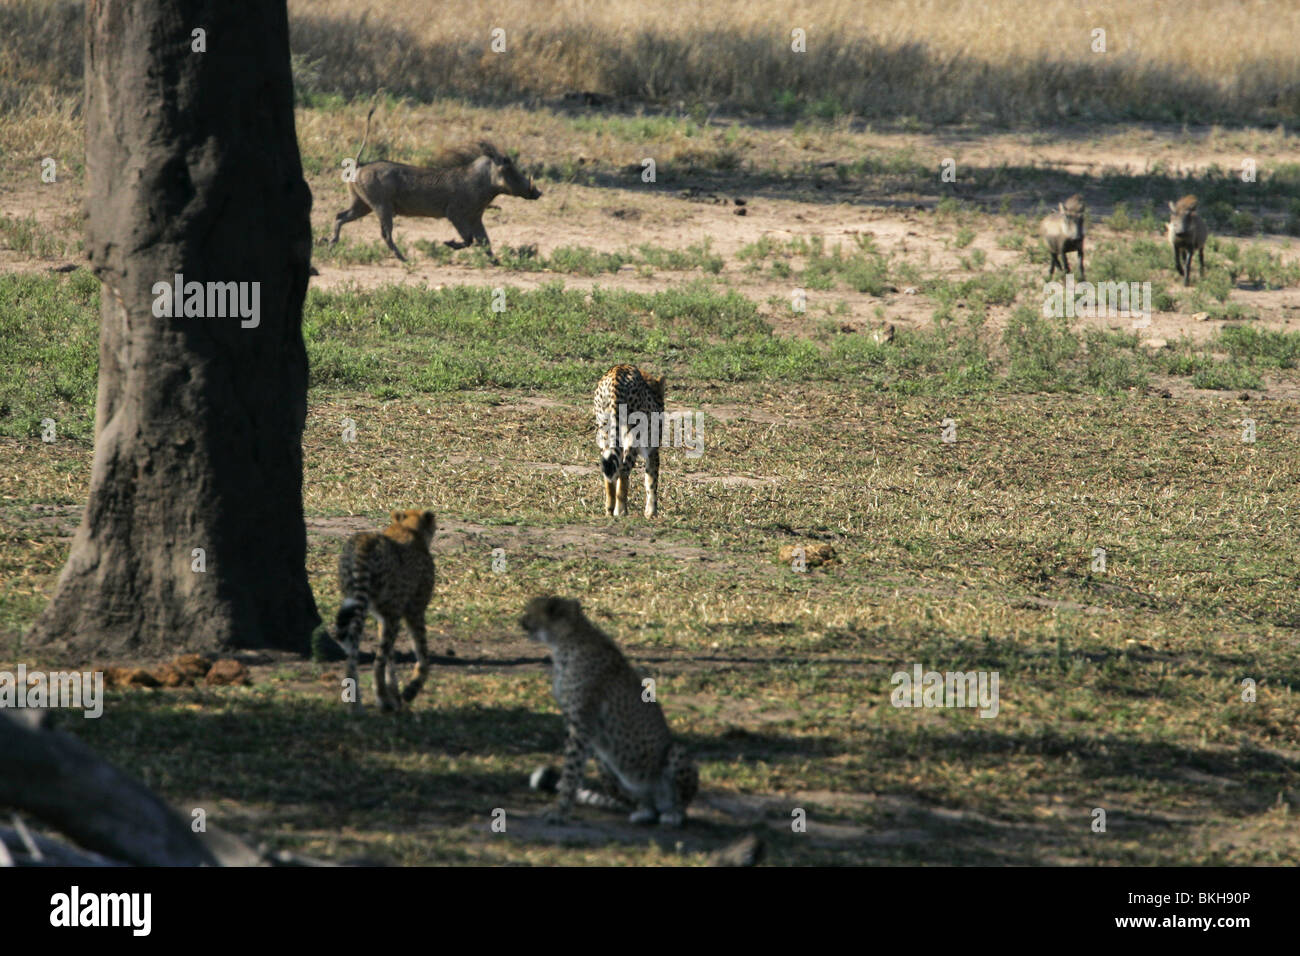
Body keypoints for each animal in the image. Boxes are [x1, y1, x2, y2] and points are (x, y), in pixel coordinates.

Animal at [335, 509, 436, 712]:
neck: (409, 529)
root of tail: (365, 539)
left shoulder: (385, 617)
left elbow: (391, 658)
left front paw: (395, 695)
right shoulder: (412, 611)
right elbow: (422, 654)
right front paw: (409, 690)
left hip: (356, 601)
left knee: (353, 654)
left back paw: (355, 704)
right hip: (390, 612)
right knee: (378, 661)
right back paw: (382, 699)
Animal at [520, 595, 702, 827]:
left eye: (531, 612)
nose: (521, 621)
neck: (565, 642)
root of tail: (657, 801)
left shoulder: (581, 724)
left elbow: (571, 772)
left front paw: (559, 812)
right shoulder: (573, 722)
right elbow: (571, 768)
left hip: (675, 752)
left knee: (680, 802)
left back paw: (674, 813)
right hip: (606, 767)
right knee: (640, 803)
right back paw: (643, 811)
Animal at [595, 364, 665, 515]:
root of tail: (617, 370)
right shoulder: (652, 450)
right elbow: (652, 481)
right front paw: (652, 512)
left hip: (605, 432)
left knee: (609, 471)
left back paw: (610, 509)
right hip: (632, 437)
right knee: (623, 470)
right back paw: (621, 510)